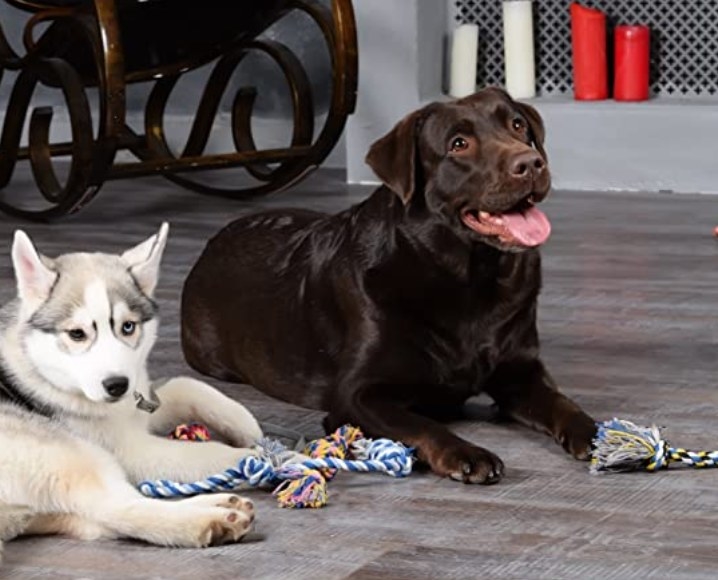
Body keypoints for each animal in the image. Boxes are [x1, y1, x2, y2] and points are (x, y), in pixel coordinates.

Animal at [0, 224, 264, 556]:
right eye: (77, 334)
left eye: (127, 327)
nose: (116, 385)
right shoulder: (131, 450)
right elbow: (208, 452)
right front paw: (270, 459)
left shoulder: (140, 404)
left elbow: (185, 385)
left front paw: (245, 425)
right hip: (68, 452)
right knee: (119, 506)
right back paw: (208, 520)